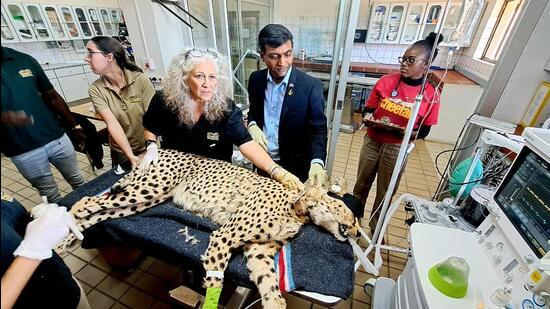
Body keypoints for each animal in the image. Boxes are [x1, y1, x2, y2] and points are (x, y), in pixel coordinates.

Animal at [61, 148, 362, 306]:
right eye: (353, 216)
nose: (358, 232)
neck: (299, 210)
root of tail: (163, 148)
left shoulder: (258, 252)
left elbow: (270, 289)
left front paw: (273, 302)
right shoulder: (224, 236)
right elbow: (215, 282)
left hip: (145, 201)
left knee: (100, 213)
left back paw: (65, 241)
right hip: (145, 190)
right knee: (86, 201)